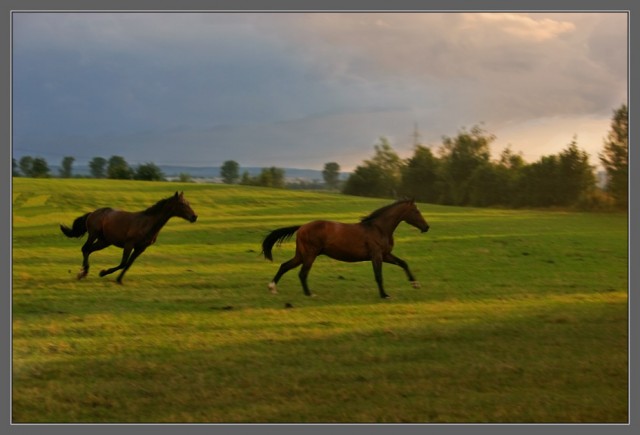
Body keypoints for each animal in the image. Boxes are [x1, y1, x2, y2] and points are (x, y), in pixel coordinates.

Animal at [62, 192, 199, 284]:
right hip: (93, 234)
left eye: (188, 203)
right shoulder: (129, 244)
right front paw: (103, 272)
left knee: (89, 250)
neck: (147, 223)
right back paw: (82, 273)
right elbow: (123, 263)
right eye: (182, 204)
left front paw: (119, 280)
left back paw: (84, 272)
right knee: (85, 248)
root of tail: (92, 213)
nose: (194, 217)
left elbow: (128, 264)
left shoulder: (141, 248)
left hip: (104, 241)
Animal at [260, 200, 430, 300]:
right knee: (302, 273)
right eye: (416, 211)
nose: (426, 227)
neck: (379, 228)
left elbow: (403, 263)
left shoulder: (386, 255)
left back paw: (272, 288)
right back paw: (309, 293)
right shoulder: (376, 255)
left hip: (302, 255)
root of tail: (301, 227)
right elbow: (378, 275)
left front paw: (415, 284)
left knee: (285, 266)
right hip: (309, 255)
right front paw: (384, 295)